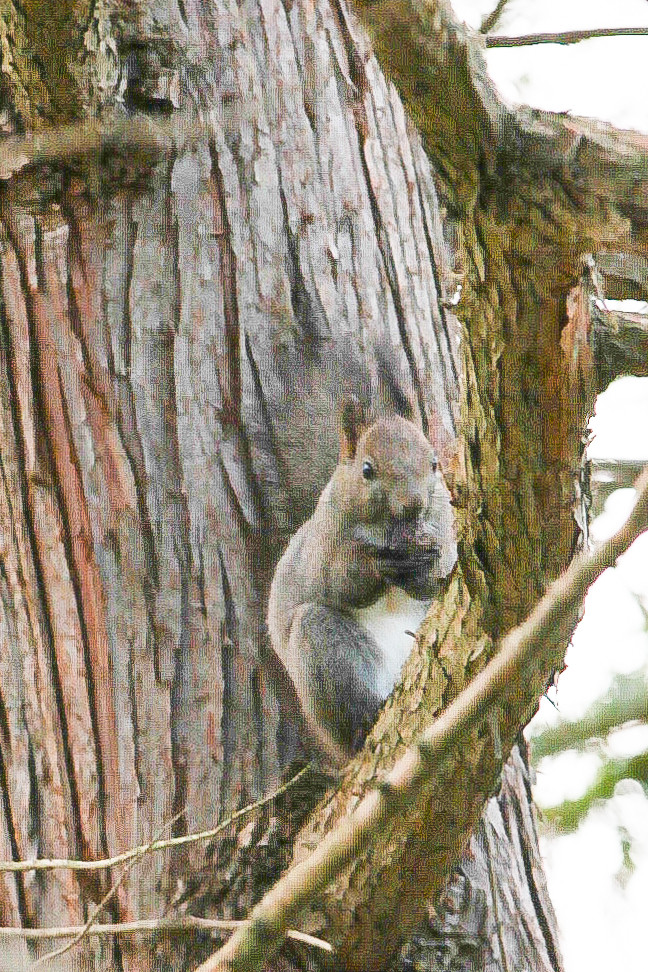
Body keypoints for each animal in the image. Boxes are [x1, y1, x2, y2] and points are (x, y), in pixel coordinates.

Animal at [266, 398, 458, 764]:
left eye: (434, 464)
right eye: (367, 470)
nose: (412, 506)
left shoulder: (444, 525)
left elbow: (438, 577)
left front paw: (422, 566)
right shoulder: (323, 544)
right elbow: (338, 583)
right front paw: (377, 564)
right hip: (326, 650)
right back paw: (363, 722)